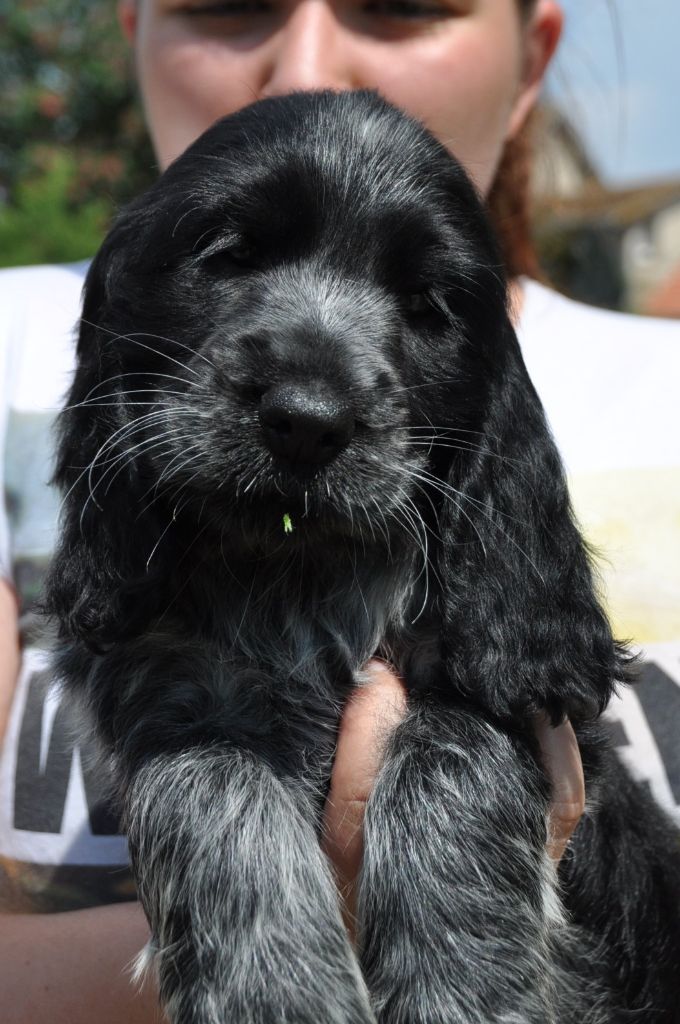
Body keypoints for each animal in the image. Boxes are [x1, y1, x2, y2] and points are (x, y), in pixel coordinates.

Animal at [46, 91, 680, 1023]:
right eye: (229, 254)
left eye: (427, 305)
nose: (307, 420)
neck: (297, 577)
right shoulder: (171, 690)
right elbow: (208, 786)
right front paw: (276, 995)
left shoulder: (508, 693)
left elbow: (450, 761)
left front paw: (463, 988)